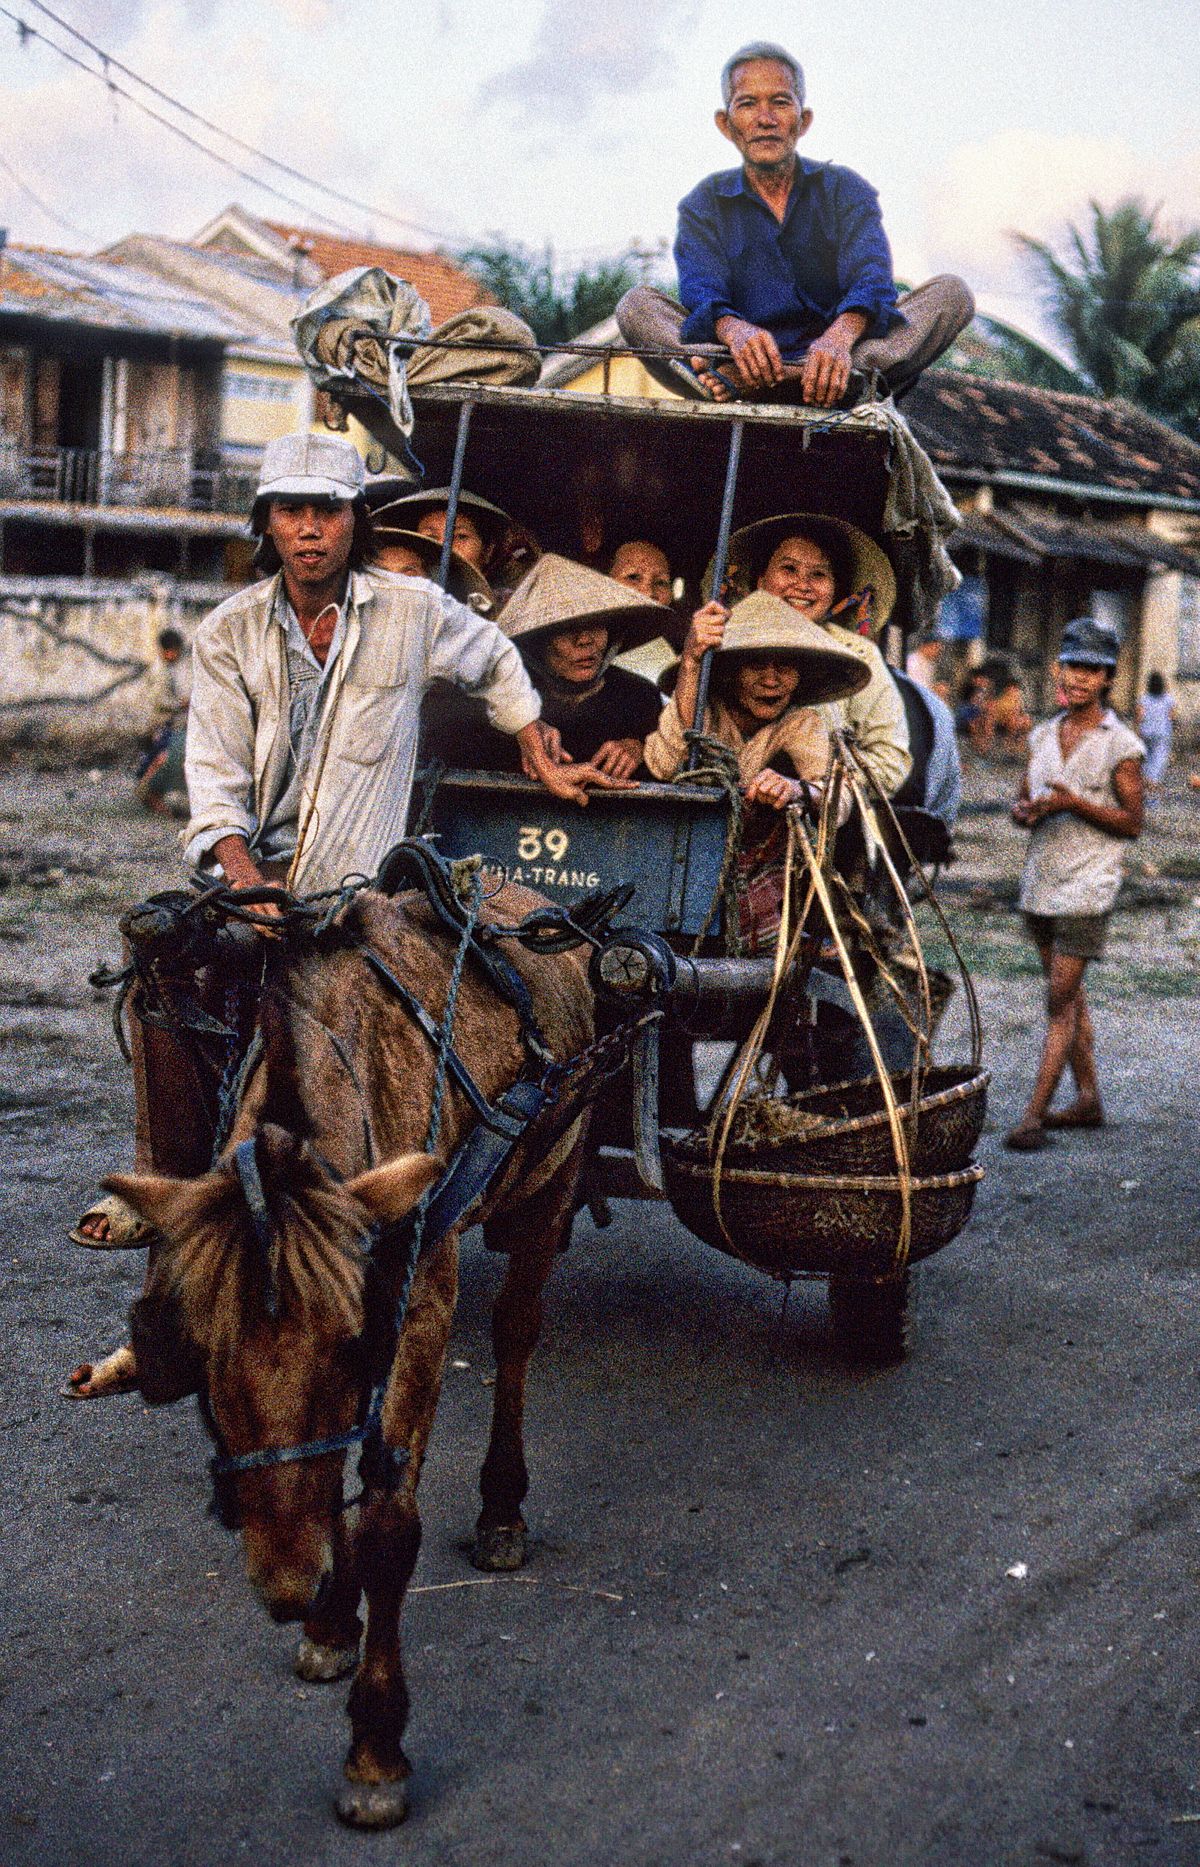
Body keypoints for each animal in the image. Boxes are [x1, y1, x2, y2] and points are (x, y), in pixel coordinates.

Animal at [103, 884, 597, 1822]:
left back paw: (502, 1507)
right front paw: (331, 1621)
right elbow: (328, 1475)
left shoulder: (421, 1303)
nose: (288, 1586)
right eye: (200, 1364)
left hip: (554, 1180)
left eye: (352, 1346)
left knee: (517, 1329)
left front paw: (375, 1746)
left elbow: (388, 1527)